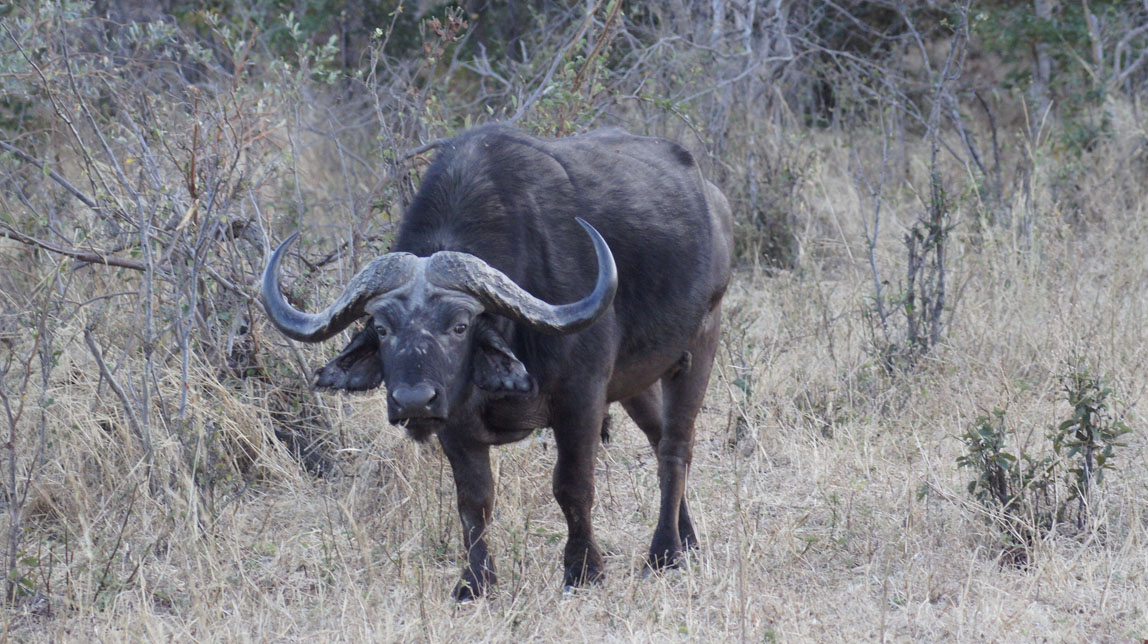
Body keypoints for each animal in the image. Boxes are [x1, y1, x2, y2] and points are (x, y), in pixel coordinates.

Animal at [260, 124, 730, 596]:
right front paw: (474, 581)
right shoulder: (453, 421)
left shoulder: (581, 398)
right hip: (637, 379)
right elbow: (474, 499)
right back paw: (686, 538)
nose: (413, 401)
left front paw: (583, 570)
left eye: (460, 325)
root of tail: (712, 198)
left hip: (700, 344)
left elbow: (573, 486)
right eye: (381, 327)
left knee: (675, 446)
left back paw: (664, 552)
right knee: (657, 437)